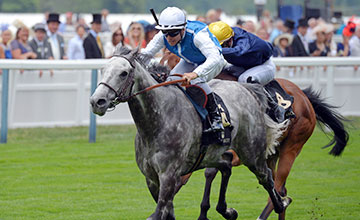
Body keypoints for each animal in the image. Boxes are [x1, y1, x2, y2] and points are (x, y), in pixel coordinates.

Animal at [90, 47, 292, 219]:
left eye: (123, 73)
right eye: (103, 70)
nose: (97, 101)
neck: (156, 123)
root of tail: (247, 89)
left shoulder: (169, 176)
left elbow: (158, 214)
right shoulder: (152, 179)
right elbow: (167, 213)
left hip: (251, 153)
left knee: (266, 176)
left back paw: (281, 203)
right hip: (211, 156)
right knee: (226, 166)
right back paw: (227, 210)